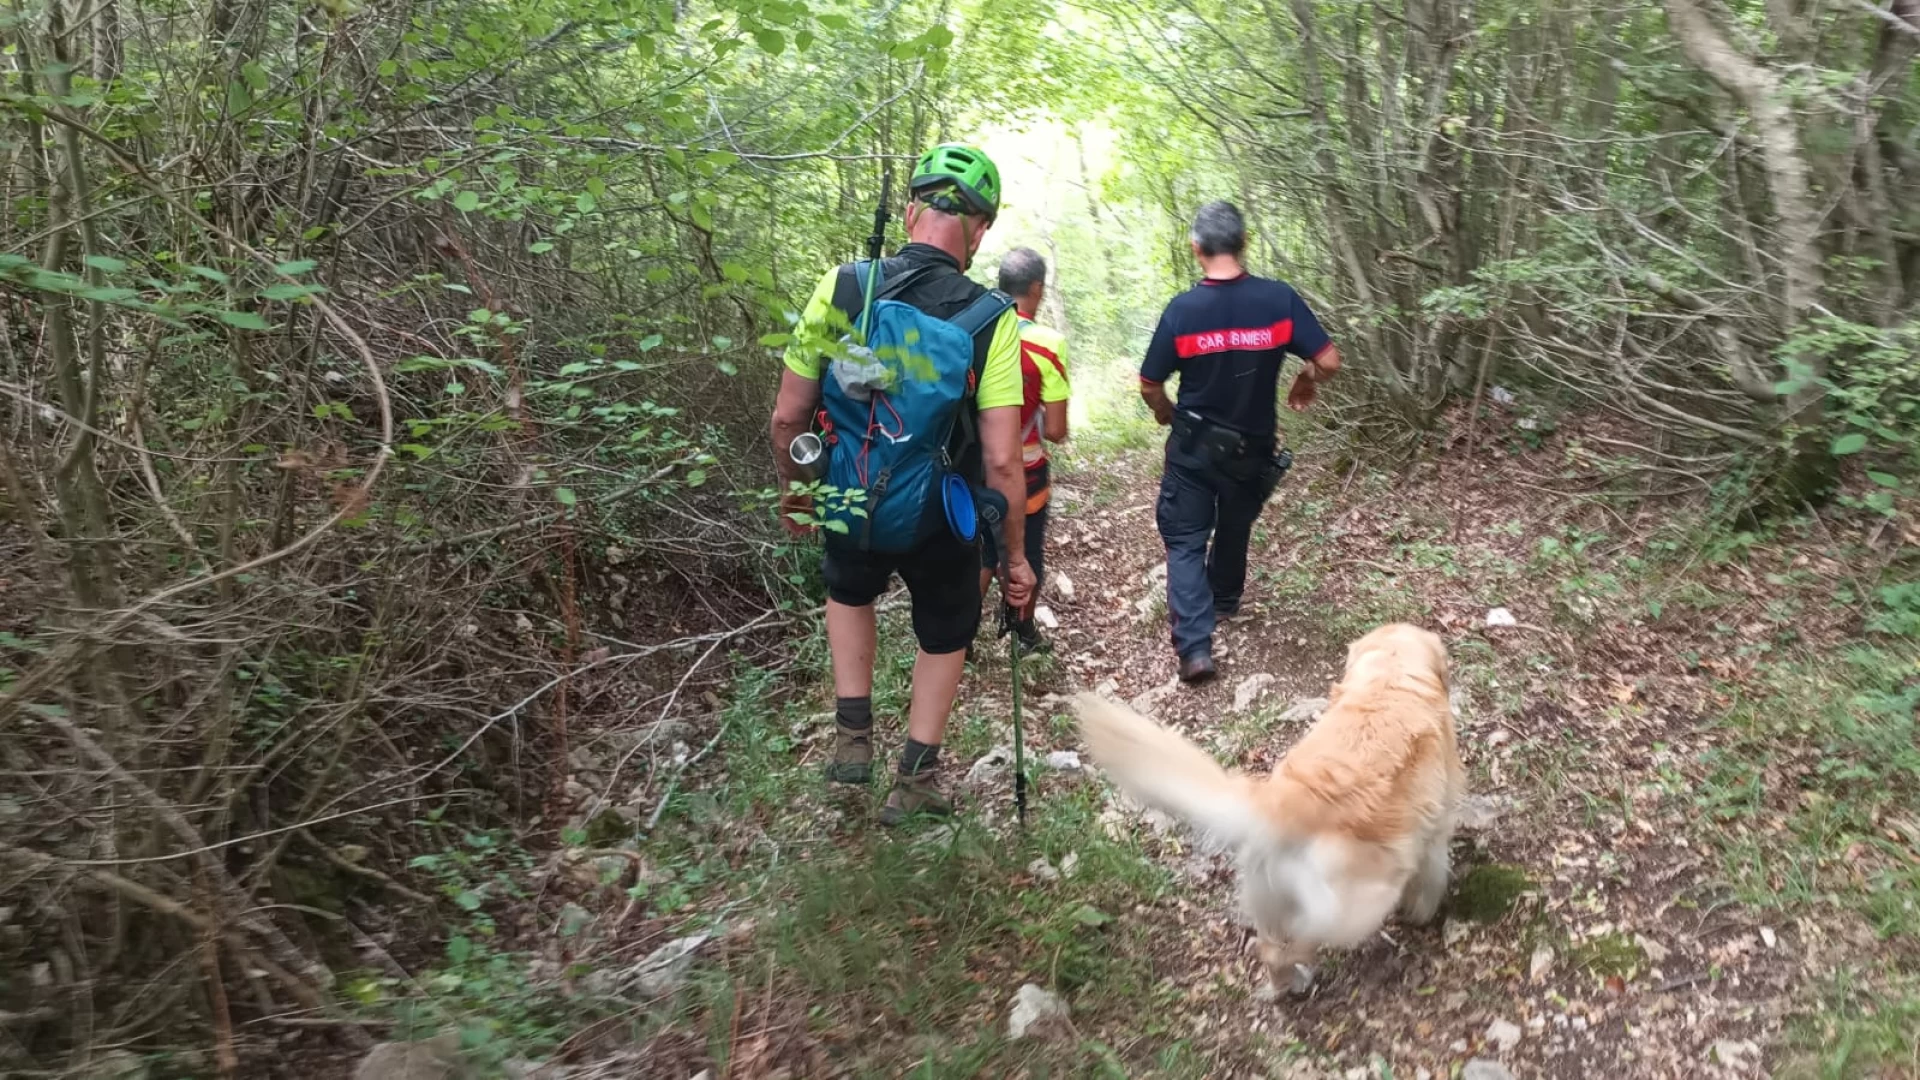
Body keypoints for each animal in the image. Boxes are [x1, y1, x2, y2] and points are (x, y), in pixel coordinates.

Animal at [1075, 622, 1459, 991]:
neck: (1390, 676)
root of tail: (1283, 806)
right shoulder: (1436, 824)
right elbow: (1433, 870)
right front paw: (1423, 911)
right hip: (1359, 902)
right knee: (1302, 941)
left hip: (1268, 895)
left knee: (1271, 950)